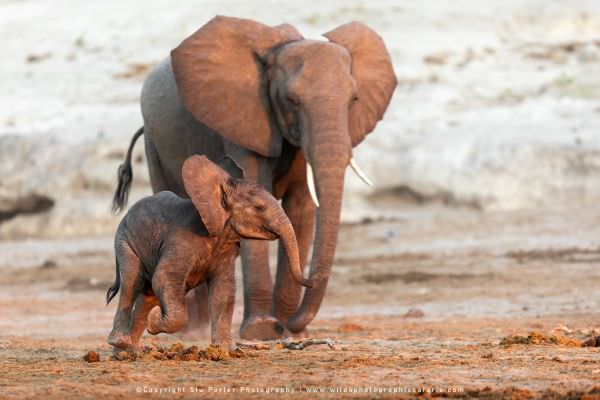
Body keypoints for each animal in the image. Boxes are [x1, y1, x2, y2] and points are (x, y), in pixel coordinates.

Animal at [106, 155, 312, 348]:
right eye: (259, 207)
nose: (310, 281)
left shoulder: (226, 248)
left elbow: (224, 290)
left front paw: (226, 350)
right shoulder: (182, 239)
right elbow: (164, 277)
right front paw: (155, 320)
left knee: (148, 295)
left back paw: (127, 351)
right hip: (125, 242)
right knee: (131, 283)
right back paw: (121, 341)